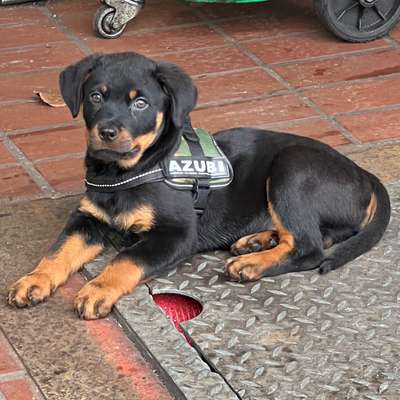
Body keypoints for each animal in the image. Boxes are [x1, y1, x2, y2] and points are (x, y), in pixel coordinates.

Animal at [7, 52, 392, 318]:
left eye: (140, 102)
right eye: (96, 97)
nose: (107, 132)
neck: (122, 173)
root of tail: (365, 175)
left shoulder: (176, 235)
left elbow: (127, 258)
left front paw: (97, 289)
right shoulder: (89, 219)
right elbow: (58, 251)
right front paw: (34, 279)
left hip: (292, 168)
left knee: (310, 247)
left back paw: (251, 264)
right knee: (316, 235)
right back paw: (256, 241)